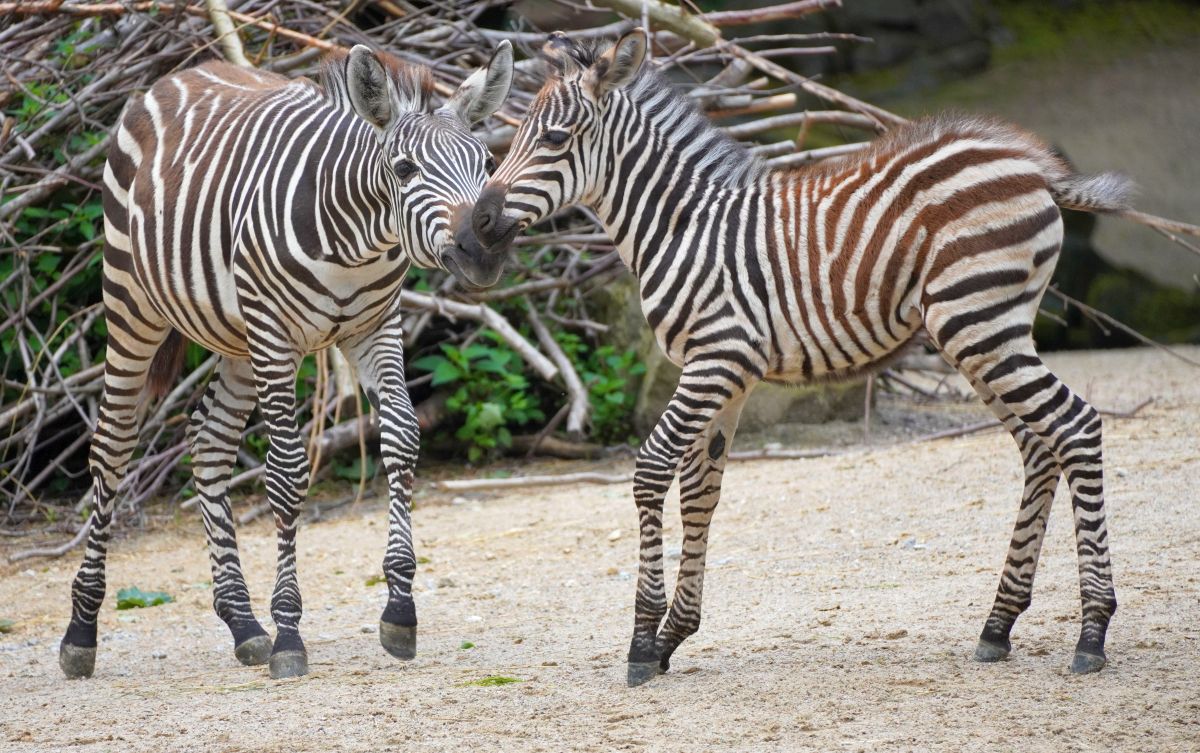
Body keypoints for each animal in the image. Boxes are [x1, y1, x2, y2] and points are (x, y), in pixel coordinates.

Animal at [62, 42, 511, 681]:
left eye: (485, 161)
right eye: (404, 170)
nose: (484, 251)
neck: (355, 240)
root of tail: (180, 73)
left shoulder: (375, 327)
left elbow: (402, 437)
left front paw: (400, 611)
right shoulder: (276, 337)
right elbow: (288, 472)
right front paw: (290, 633)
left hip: (238, 340)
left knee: (209, 443)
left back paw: (244, 624)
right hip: (134, 304)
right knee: (112, 447)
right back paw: (81, 631)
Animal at [470, 30, 1132, 690]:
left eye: (555, 139)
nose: (476, 223)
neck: (682, 227)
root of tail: (1033, 164)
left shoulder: (716, 360)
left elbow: (653, 469)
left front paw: (641, 640)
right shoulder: (725, 374)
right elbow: (701, 491)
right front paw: (673, 637)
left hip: (979, 323)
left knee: (1075, 426)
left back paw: (1092, 632)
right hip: (987, 332)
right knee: (1039, 446)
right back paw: (998, 625)